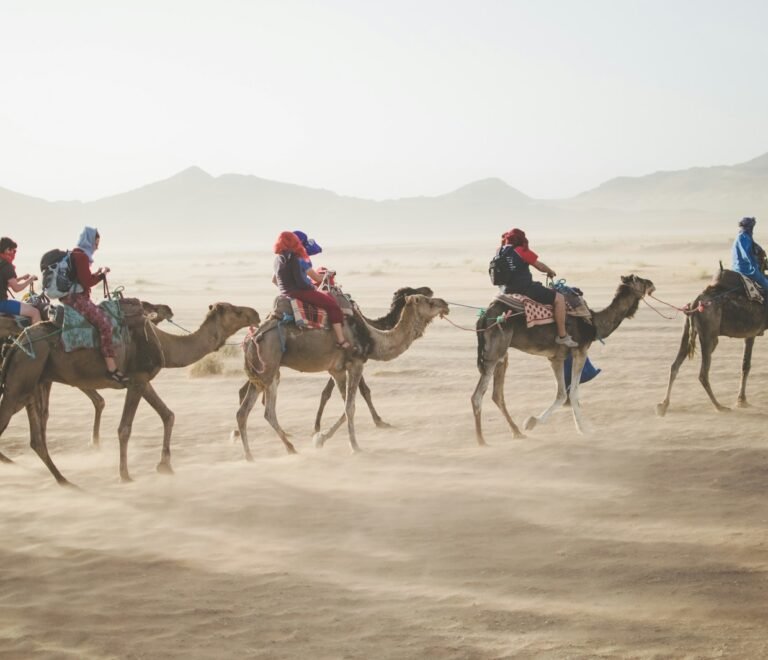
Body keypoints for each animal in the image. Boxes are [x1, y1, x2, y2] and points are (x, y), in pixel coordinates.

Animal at [0, 300, 260, 484]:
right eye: (236, 311)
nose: (255, 313)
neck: (164, 343)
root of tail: (17, 342)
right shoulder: (137, 380)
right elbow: (124, 428)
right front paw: (125, 475)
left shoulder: (143, 381)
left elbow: (168, 415)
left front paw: (165, 465)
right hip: (21, 379)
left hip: (33, 382)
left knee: (37, 438)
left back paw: (63, 479)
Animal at [237, 294, 448, 458]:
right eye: (428, 301)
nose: (445, 303)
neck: (373, 338)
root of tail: (250, 339)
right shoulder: (356, 364)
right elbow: (350, 407)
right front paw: (355, 447)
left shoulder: (337, 370)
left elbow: (345, 407)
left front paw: (321, 438)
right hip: (269, 366)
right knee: (264, 410)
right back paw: (273, 451)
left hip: (263, 372)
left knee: (248, 412)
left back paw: (261, 454)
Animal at [472, 274, 656, 444]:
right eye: (639, 279)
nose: (652, 283)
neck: (593, 323)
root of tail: (484, 316)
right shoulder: (580, 351)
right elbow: (572, 392)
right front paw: (582, 428)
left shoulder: (556, 358)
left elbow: (562, 393)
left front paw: (533, 422)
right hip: (494, 352)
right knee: (478, 396)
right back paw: (481, 441)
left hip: (502, 355)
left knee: (497, 394)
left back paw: (516, 432)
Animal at [656, 266, 768, 412]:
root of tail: (695, 303)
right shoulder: (751, 332)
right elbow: (746, 364)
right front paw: (741, 401)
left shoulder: (750, 333)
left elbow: (745, 365)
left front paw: (742, 400)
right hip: (709, 336)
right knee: (703, 373)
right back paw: (719, 406)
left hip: (688, 330)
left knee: (675, 365)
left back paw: (663, 405)